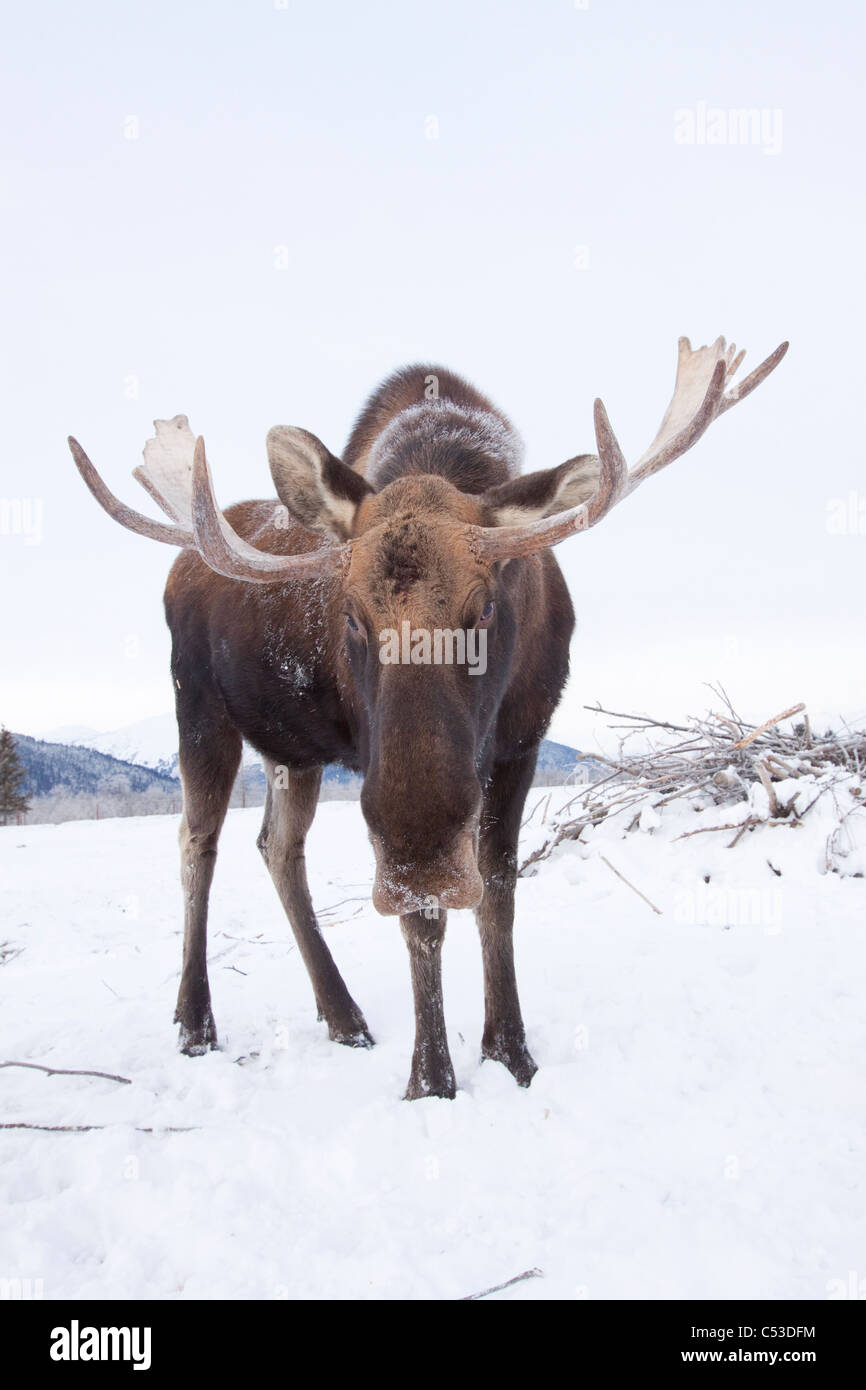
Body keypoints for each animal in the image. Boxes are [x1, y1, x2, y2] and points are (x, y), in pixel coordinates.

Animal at [69, 336, 783, 1095]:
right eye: (350, 613)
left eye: (486, 606)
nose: (421, 860)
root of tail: (182, 560)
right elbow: (425, 924)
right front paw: (432, 1078)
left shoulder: (521, 741)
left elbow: (499, 888)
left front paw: (510, 1051)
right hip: (200, 709)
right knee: (197, 845)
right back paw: (195, 1022)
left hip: (293, 750)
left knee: (277, 846)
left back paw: (343, 1014)